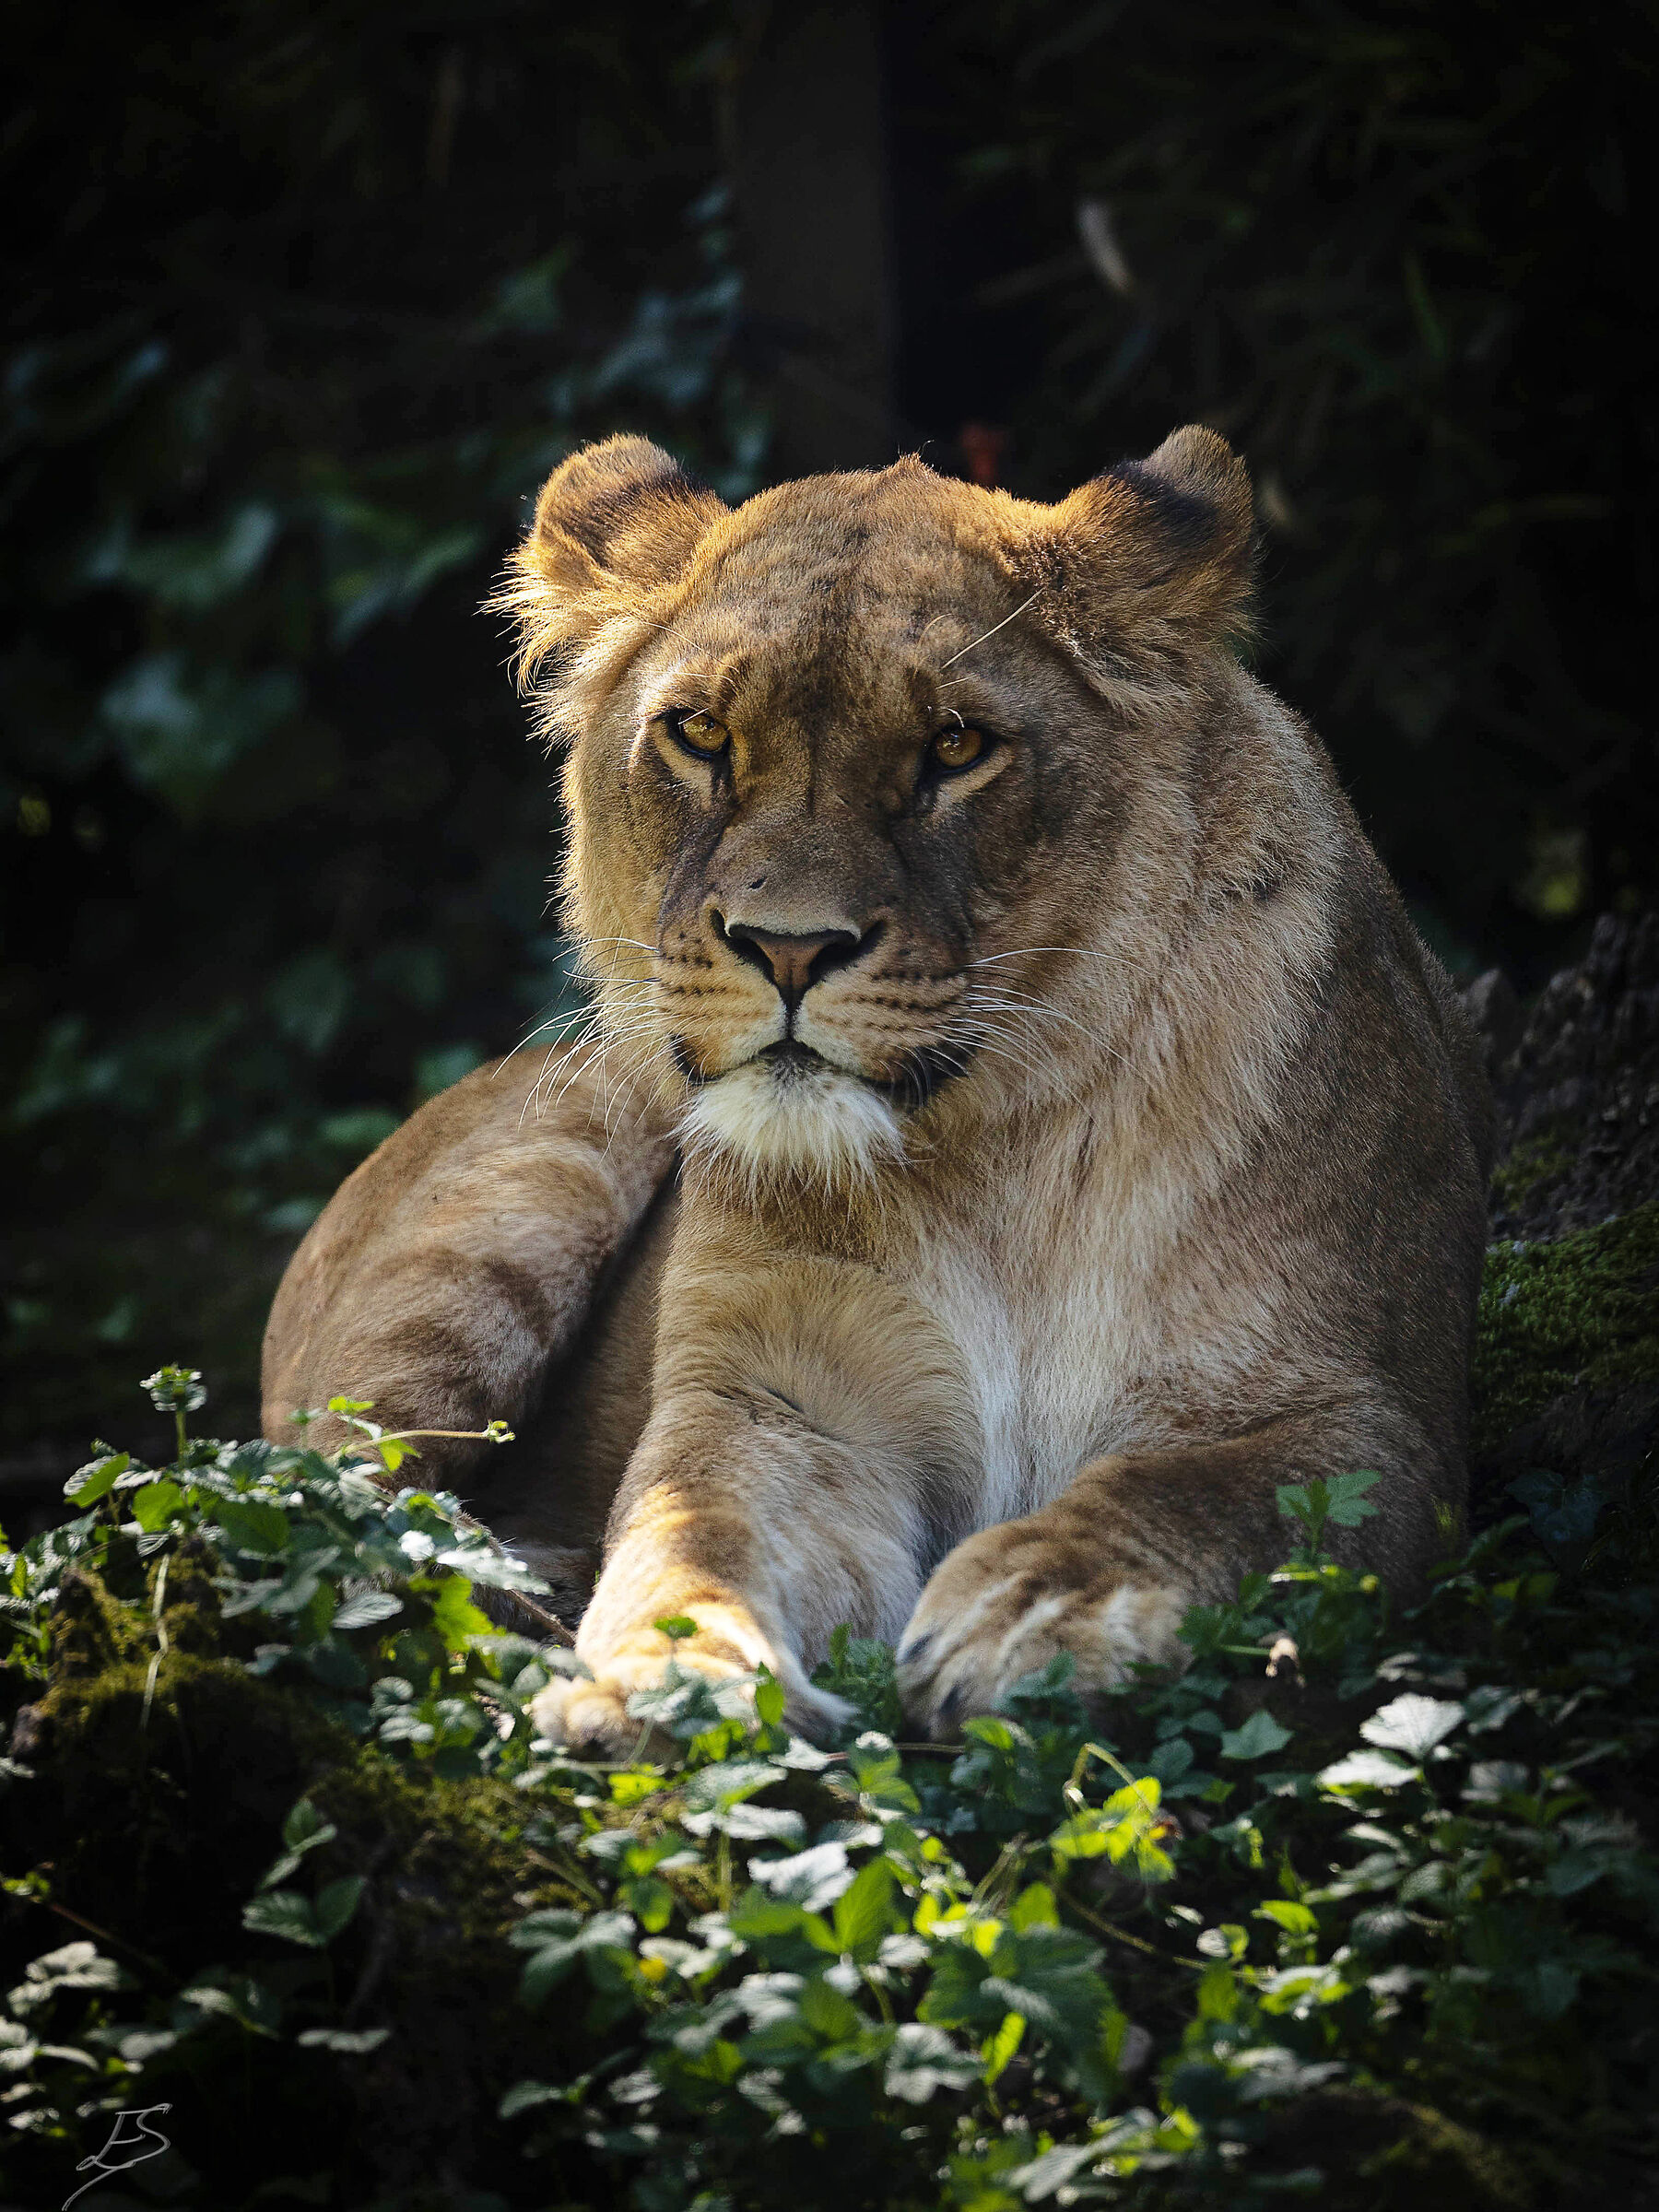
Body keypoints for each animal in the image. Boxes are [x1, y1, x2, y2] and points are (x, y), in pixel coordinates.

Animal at [262, 428, 1493, 1748]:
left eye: (956, 747)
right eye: (701, 734)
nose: (789, 948)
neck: (1002, 1156)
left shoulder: (1364, 1414)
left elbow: (1195, 1490)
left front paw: (1033, 1610)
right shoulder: (778, 1403)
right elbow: (689, 1533)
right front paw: (665, 1678)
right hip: (549, 1168)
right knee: (301, 1505)